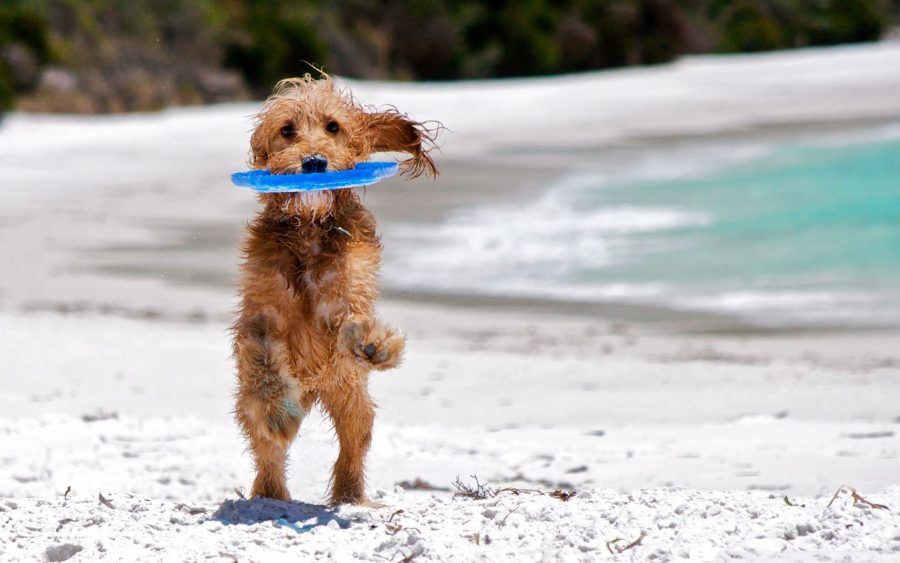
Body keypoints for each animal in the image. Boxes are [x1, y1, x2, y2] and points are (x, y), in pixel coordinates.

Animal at [234, 75, 438, 506]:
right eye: (287, 130)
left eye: (333, 126)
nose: (314, 163)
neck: (309, 229)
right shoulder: (261, 315)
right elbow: (264, 362)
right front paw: (277, 411)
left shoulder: (347, 295)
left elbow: (353, 321)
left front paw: (374, 344)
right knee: (267, 449)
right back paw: (270, 492)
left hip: (350, 396)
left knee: (353, 442)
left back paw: (350, 495)